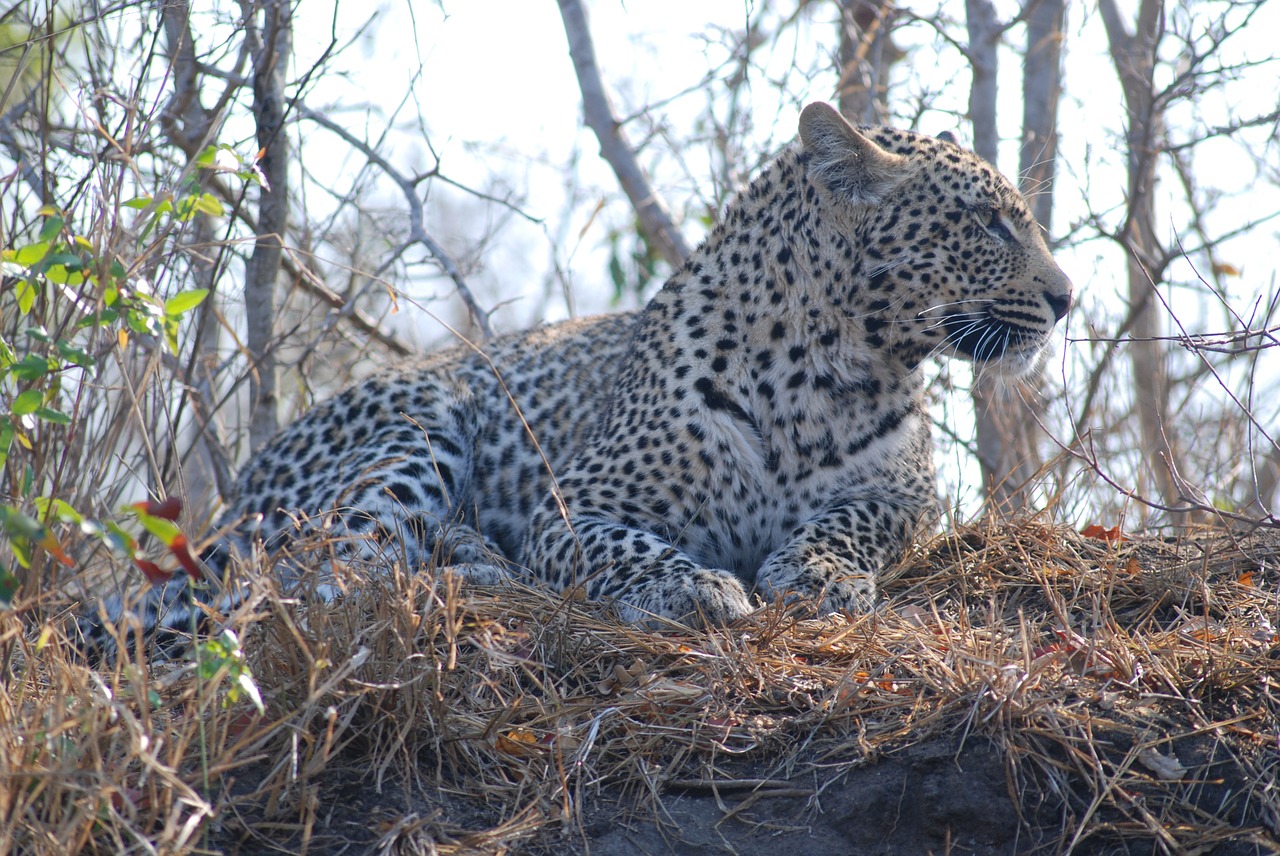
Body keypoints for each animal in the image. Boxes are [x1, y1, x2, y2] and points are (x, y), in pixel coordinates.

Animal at [80, 103, 1075, 660]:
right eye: (989, 222)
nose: (1067, 298)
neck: (837, 373)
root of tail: (235, 494)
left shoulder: (907, 493)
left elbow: (853, 520)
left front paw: (816, 571)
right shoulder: (578, 505)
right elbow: (618, 545)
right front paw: (692, 587)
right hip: (418, 423)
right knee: (320, 574)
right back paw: (473, 560)